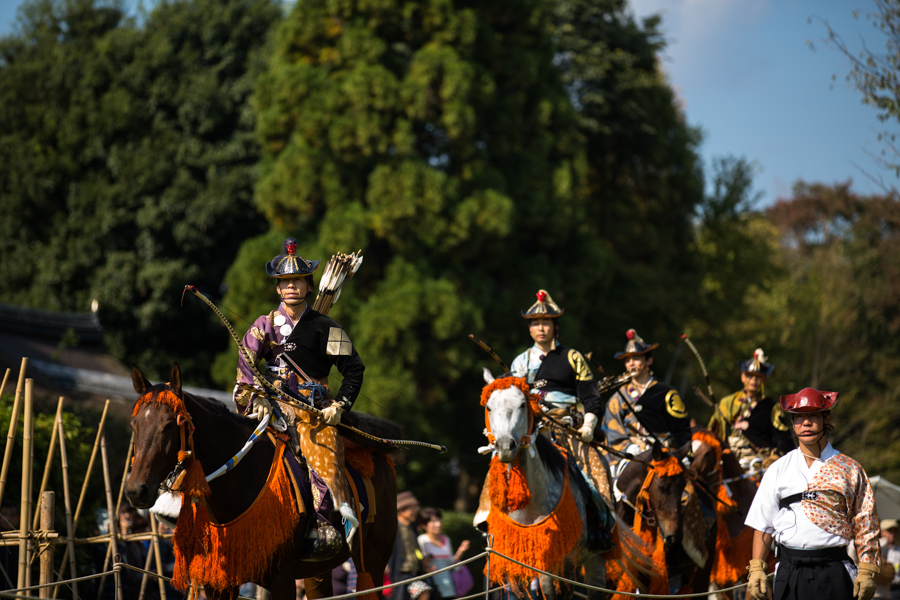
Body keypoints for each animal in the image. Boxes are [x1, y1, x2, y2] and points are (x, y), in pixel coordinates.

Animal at [125, 366, 398, 600]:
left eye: (170, 425)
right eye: (134, 425)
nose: (136, 490)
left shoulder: (282, 579)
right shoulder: (219, 582)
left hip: (373, 559)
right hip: (320, 567)